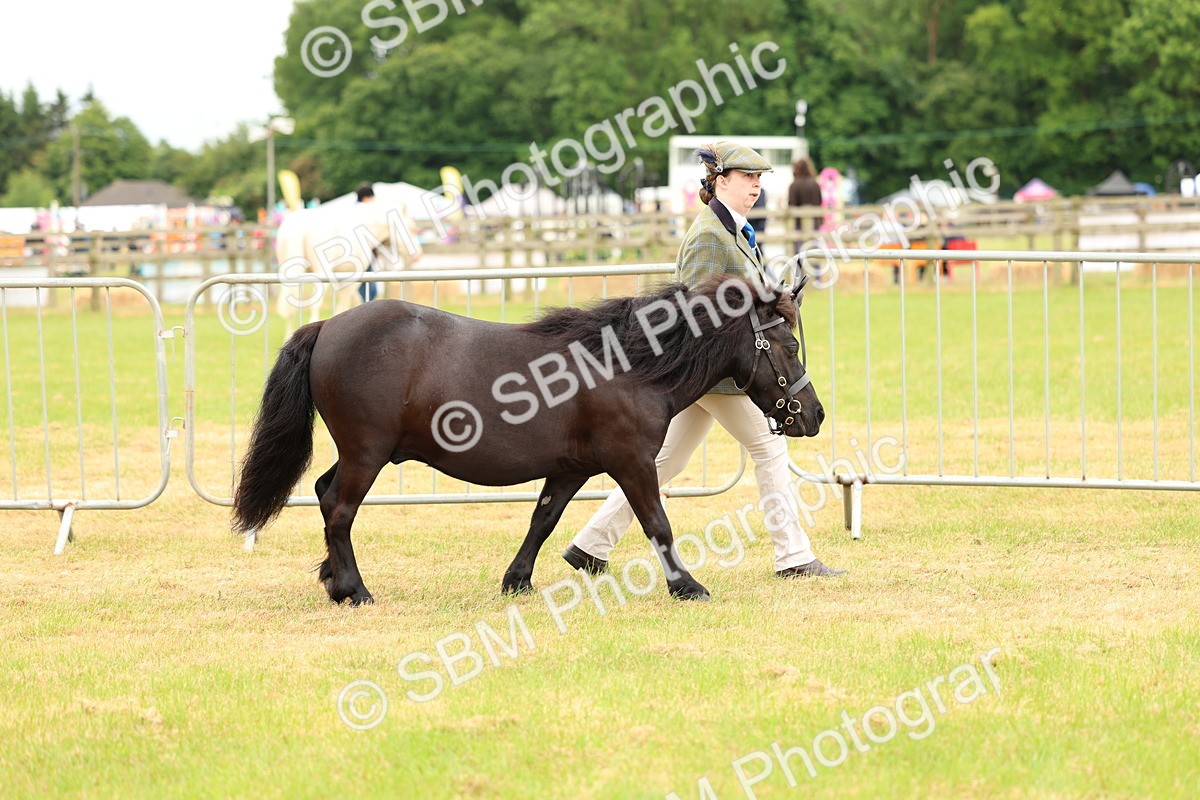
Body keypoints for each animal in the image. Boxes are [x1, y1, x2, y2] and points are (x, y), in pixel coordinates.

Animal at [231, 274, 823, 603]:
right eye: (791, 345)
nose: (813, 415)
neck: (630, 366)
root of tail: (328, 326)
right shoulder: (632, 463)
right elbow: (658, 522)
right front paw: (688, 586)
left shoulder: (569, 469)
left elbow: (543, 521)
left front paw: (517, 581)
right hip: (367, 455)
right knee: (338, 507)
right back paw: (353, 590)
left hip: (359, 454)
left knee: (324, 495)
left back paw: (333, 579)